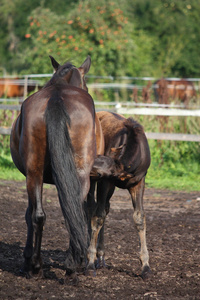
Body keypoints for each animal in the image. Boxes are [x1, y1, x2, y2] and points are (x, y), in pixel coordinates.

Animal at [9, 55, 97, 284]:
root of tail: (56, 98)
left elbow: (29, 213)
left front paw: (26, 261)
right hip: (77, 175)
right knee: (72, 212)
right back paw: (70, 267)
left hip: (35, 174)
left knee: (39, 215)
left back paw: (37, 267)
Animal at [86, 110, 151, 278]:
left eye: (100, 172)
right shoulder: (106, 183)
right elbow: (98, 216)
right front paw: (90, 262)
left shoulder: (138, 183)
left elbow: (139, 217)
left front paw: (145, 266)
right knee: (92, 208)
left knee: (104, 208)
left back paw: (101, 258)